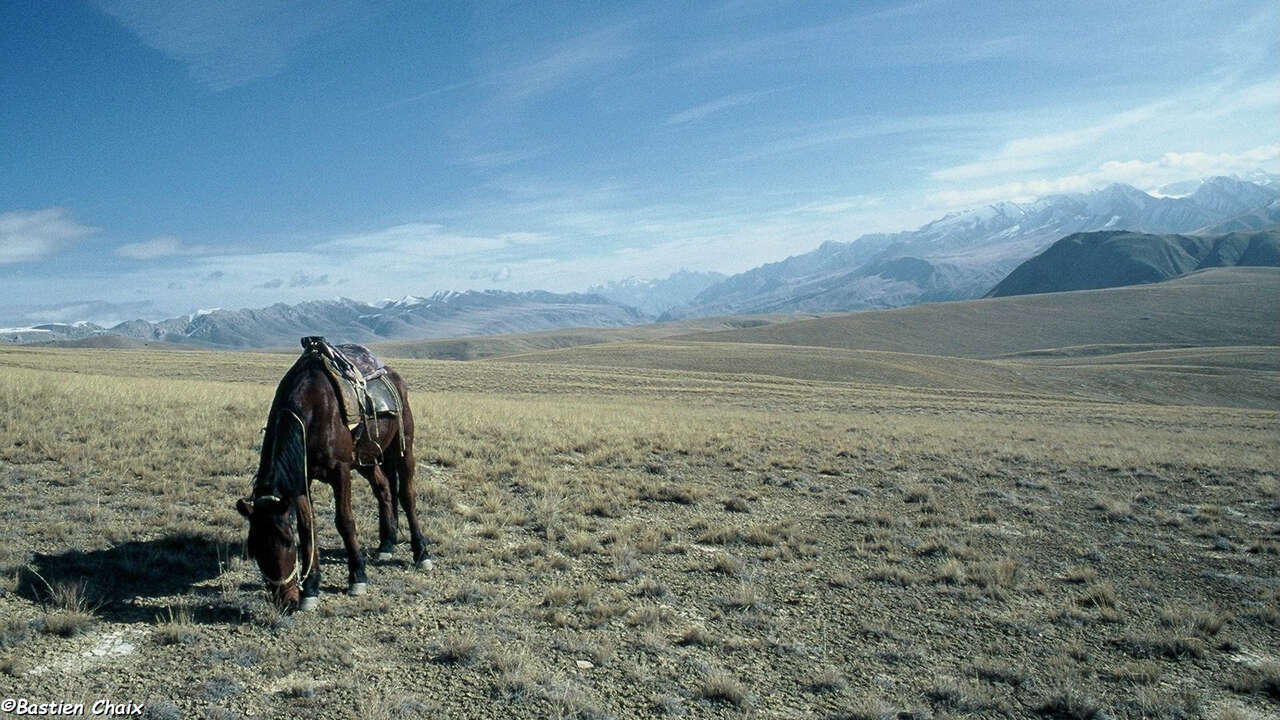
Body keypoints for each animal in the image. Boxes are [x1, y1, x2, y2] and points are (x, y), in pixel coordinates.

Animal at [232, 340, 427, 604]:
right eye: (254, 548)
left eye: (287, 542)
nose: (286, 600)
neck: (312, 411)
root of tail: (394, 376)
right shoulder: (300, 481)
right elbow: (307, 528)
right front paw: (311, 587)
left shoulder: (340, 472)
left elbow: (344, 521)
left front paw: (357, 576)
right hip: (367, 459)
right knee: (384, 489)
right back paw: (386, 545)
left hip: (402, 448)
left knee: (407, 496)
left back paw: (421, 552)